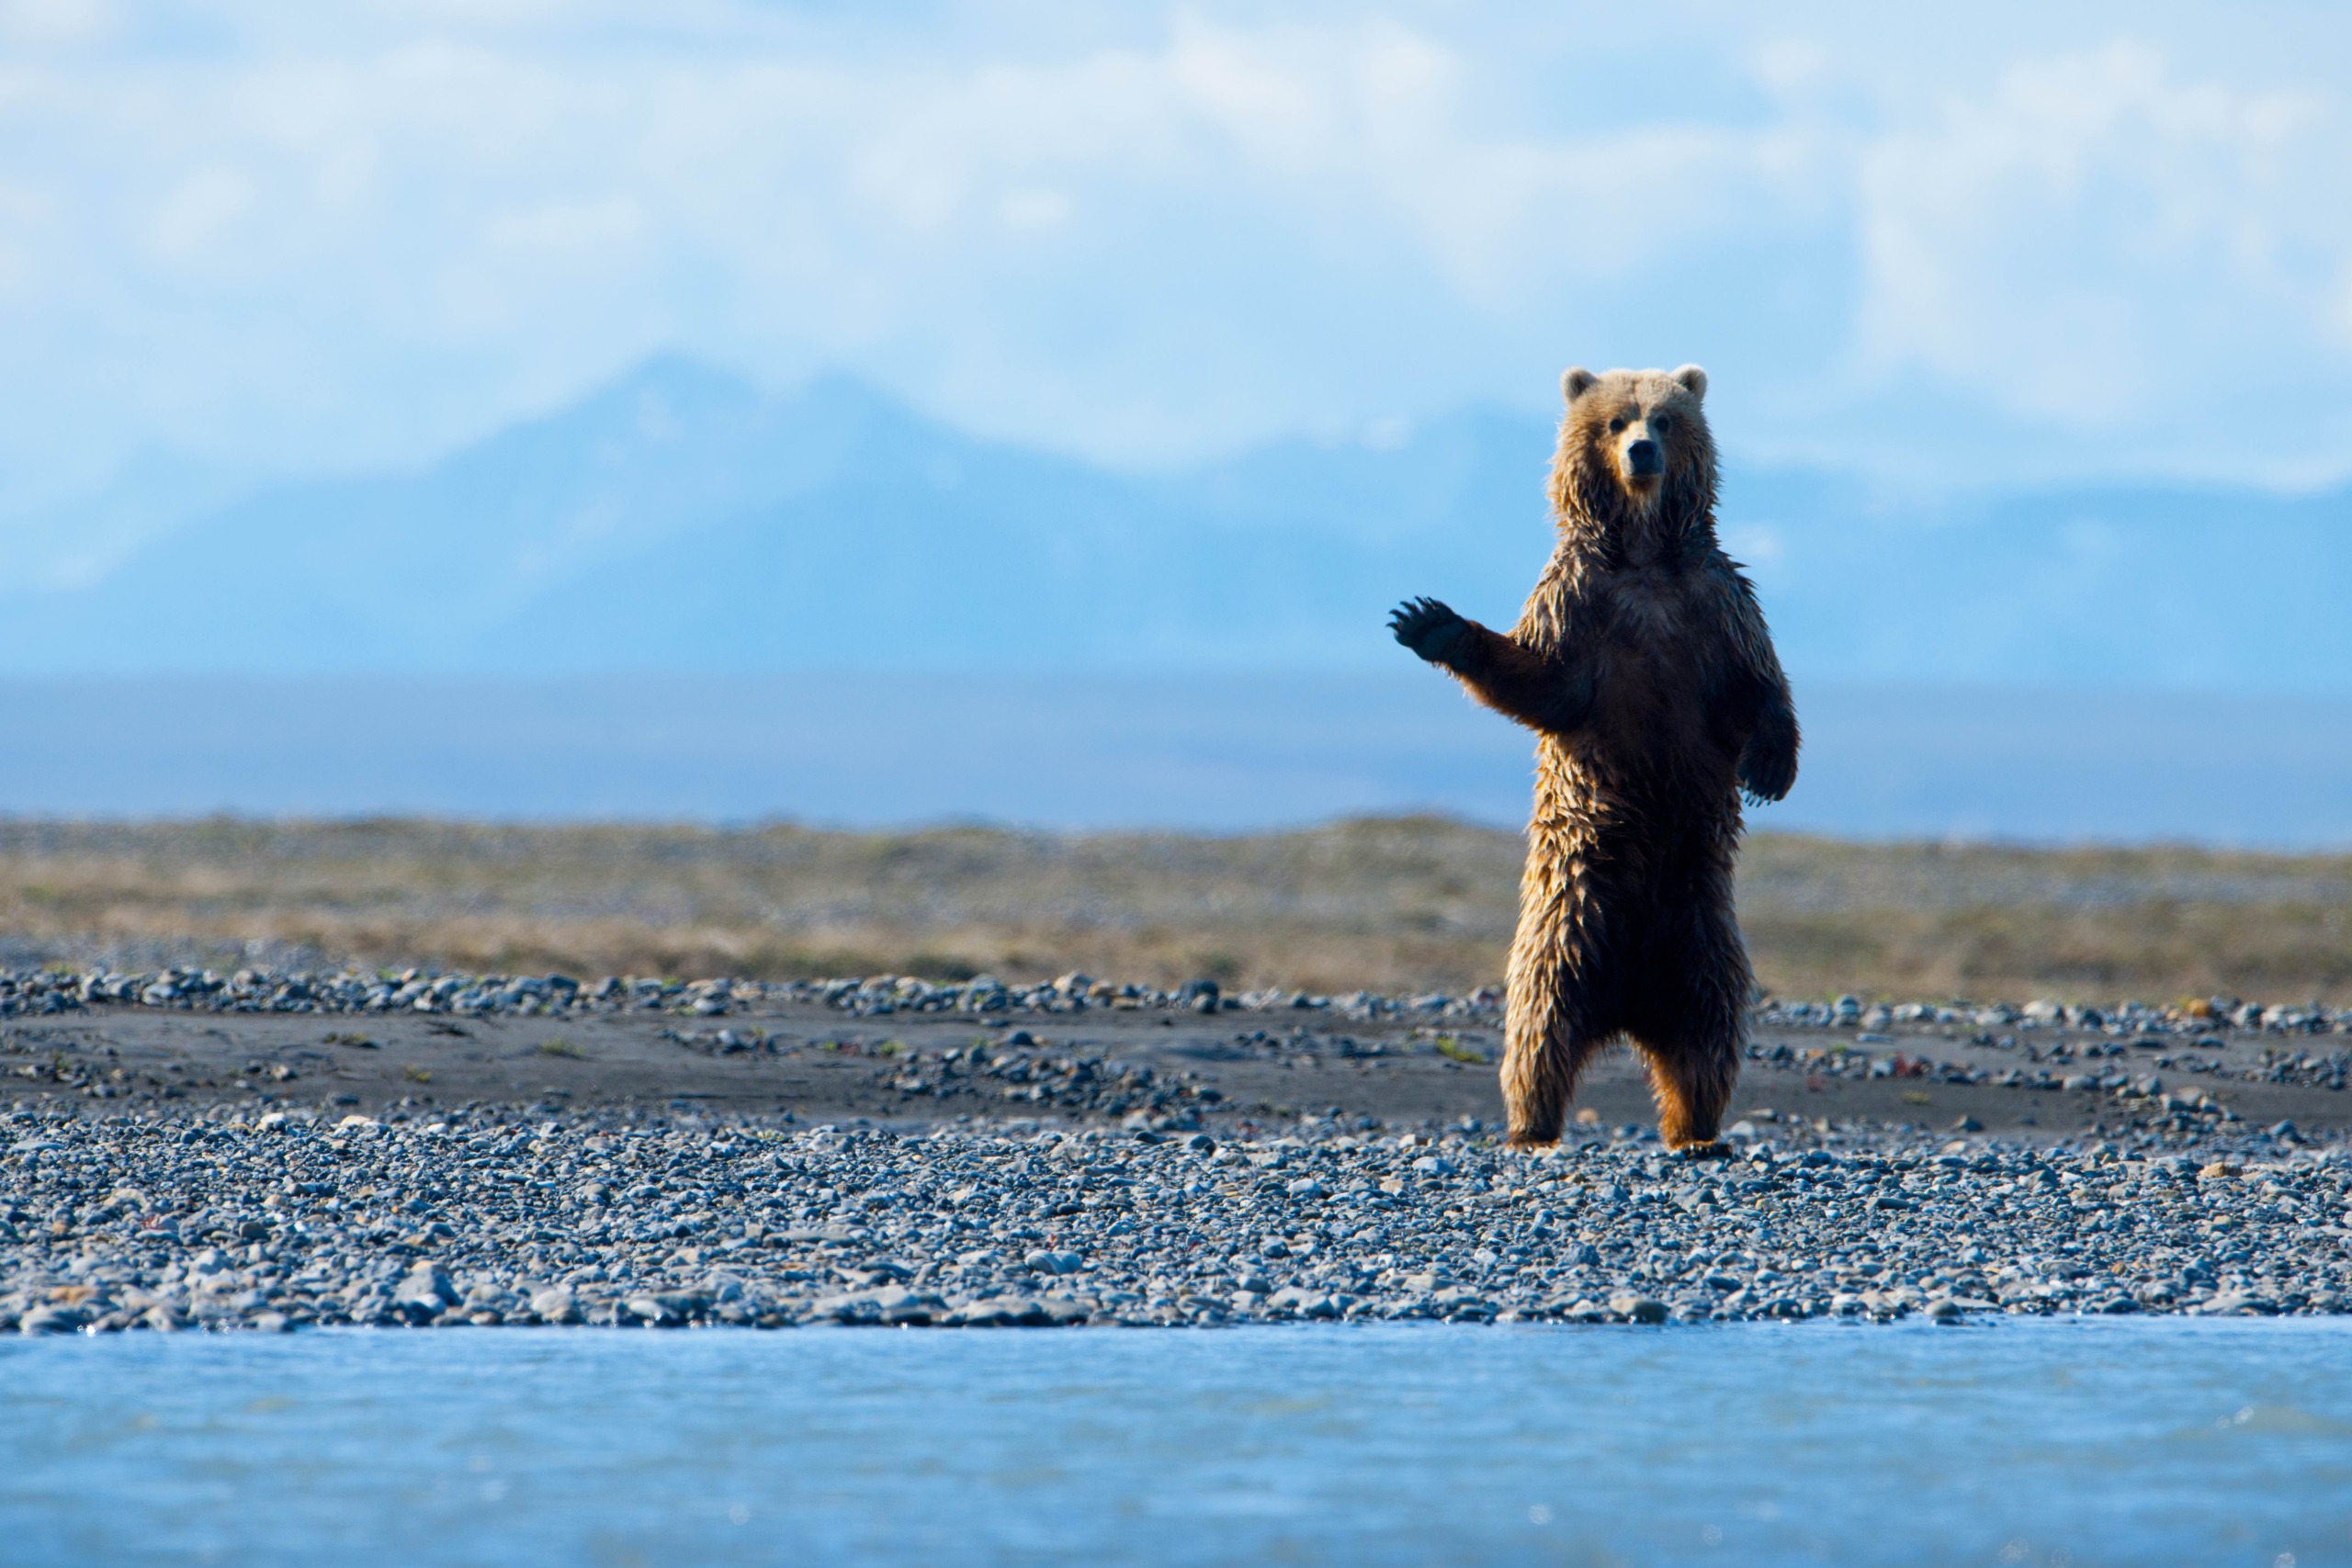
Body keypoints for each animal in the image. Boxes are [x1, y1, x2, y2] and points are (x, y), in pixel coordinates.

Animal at [1383, 364, 1787, 1152]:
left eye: (1664, 418)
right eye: (1614, 421)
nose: (1641, 452)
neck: (1645, 556)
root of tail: (1629, 1005)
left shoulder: (1715, 606)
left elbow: (1759, 686)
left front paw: (1769, 771)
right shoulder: (1579, 599)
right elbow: (1546, 679)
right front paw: (1430, 622)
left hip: (1699, 929)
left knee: (1710, 1031)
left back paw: (1697, 1126)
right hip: (1570, 918)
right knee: (1540, 1028)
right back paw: (1530, 1124)